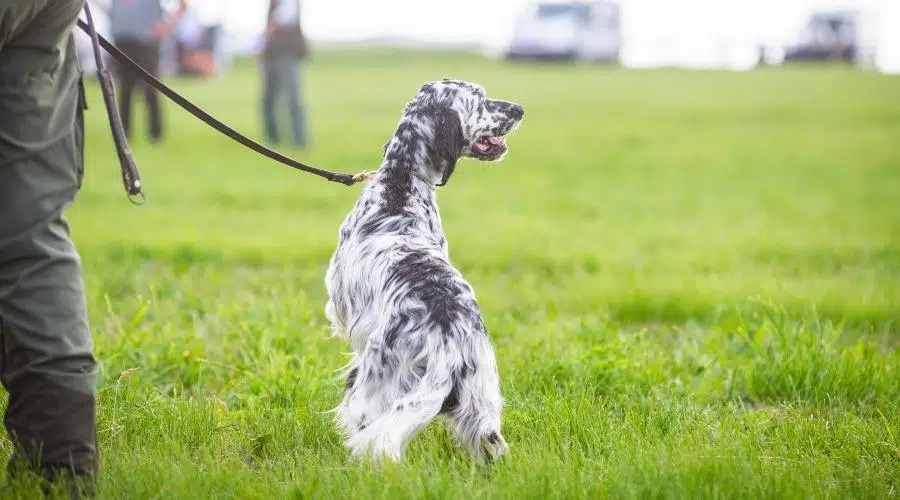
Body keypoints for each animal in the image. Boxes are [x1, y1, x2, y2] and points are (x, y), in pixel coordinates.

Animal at [324, 80, 524, 462]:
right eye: (480, 100)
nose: (520, 109)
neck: (400, 185)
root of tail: (452, 346)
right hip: (482, 402)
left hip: (374, 387)